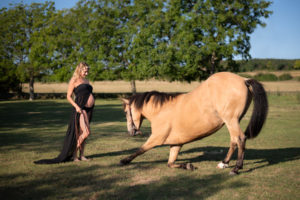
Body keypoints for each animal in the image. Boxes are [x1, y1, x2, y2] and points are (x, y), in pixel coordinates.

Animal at [119, 72, 268, 175]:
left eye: (126, 112)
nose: (131, 132)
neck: (161, 110)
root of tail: (243, 80)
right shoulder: (176, 144)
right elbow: (170, 163)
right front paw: (188, 166)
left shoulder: (156, 138)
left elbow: (140, 150)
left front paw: (124, 160)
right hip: (231, 122)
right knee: (234, 140)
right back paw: (224, 163)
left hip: (231, 120)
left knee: (240, 139)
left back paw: (236, 168)